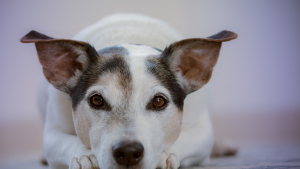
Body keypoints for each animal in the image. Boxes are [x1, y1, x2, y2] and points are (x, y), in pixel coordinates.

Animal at [20, 13, 237, 168]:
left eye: (159, 101)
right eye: (96, 100)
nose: (129, 152)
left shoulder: (202, 131)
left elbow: (185, 139)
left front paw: (164, 155)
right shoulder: (53, 133)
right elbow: (65, 142)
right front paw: (85, 156)